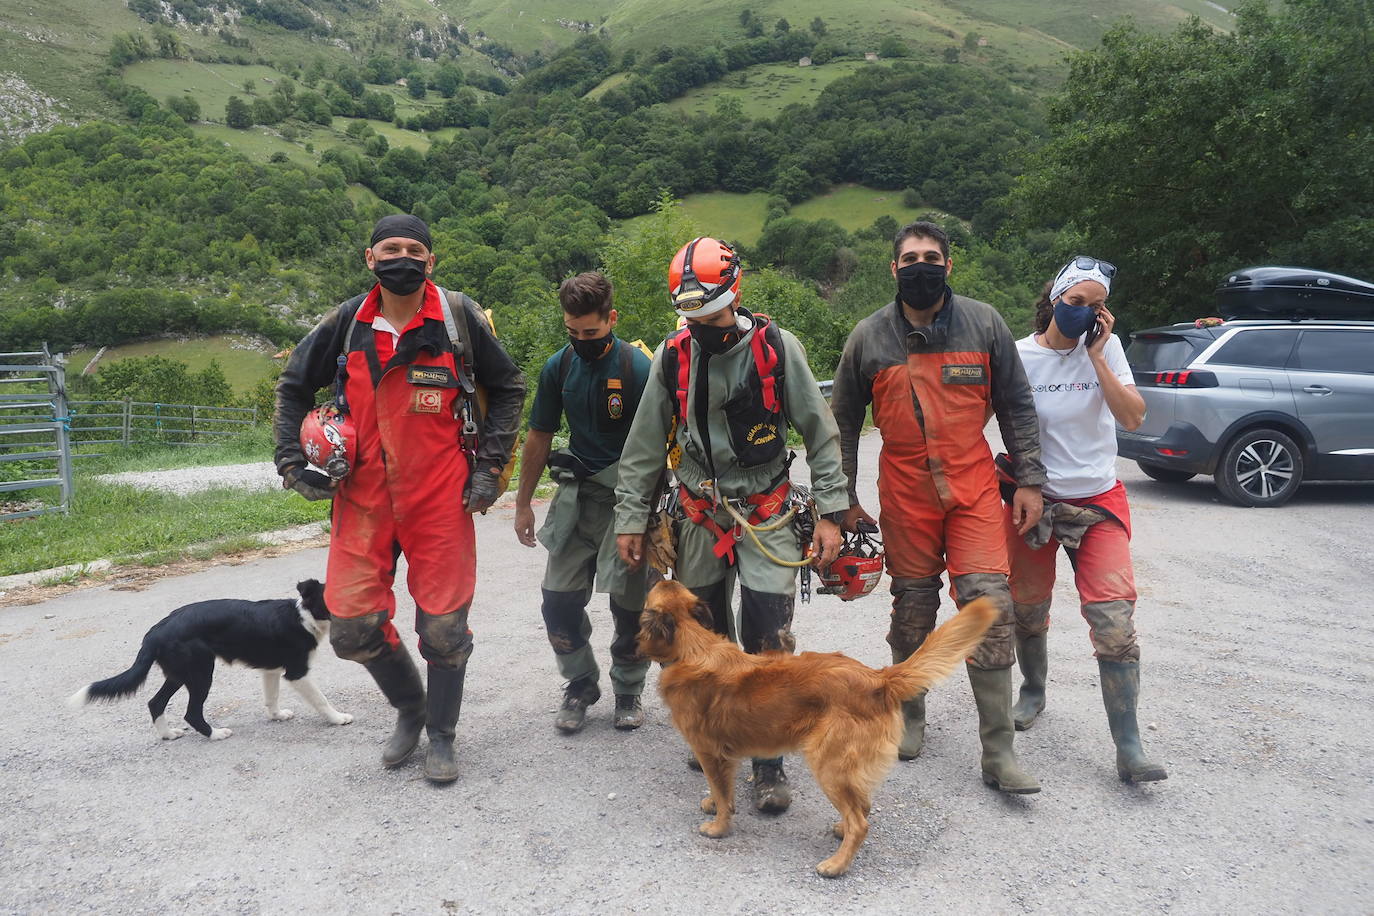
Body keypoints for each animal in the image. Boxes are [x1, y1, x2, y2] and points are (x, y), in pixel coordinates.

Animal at [637, 585, 994, 878]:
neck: (691, 646)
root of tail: (878, 679)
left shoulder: (709, 751)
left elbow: (724, 795)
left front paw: (718, 827)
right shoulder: (720, 756)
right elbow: (720, 788)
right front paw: (713, 803)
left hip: (829, 766)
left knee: (861, 822)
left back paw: (836, 865)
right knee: (861, 807)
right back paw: (841, 831)